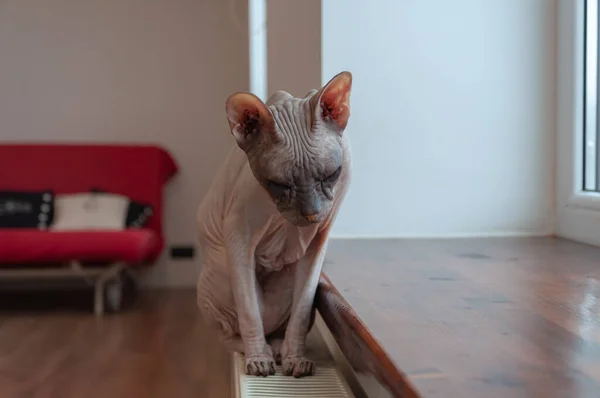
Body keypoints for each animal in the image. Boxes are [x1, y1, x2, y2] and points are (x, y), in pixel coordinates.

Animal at [195, 71, 354, 380]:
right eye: (279, 185)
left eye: (331, 175)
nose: (311, 214)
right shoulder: (238, 234)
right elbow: (249, 313)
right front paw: (258, 359)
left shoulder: (319, 239)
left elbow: (302, 309)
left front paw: (296, 358)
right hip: (219, 277)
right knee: (232, 332)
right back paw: (263, 350)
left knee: (283, 323)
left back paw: (281, 349)